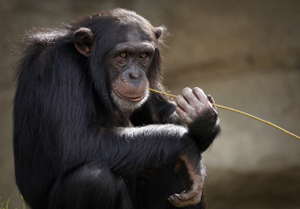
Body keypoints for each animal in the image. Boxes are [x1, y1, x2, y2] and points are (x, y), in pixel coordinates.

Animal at [13, 8, 220, 209]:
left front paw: (202, 117)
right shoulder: (59, 67)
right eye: (123, 55)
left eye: (143, 56)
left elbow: (157, 113)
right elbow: (75, 142)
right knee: (93, 178)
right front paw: (186, 146)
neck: (86, 65)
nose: (135, 75)